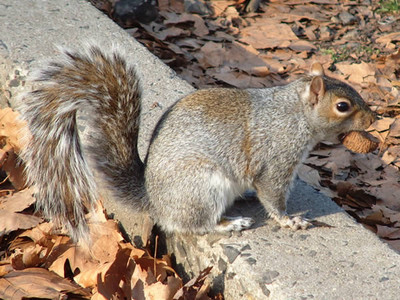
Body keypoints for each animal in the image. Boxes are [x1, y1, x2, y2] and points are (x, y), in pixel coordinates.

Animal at [18, 45, 376, 241]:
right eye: (342, 106)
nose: (374, 119)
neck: (294, 113)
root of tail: (154, 202)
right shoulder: (276, 159)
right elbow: (273, 195)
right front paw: (290, 220)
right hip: (203, 186)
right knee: (196, 226)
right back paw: (231, 224)